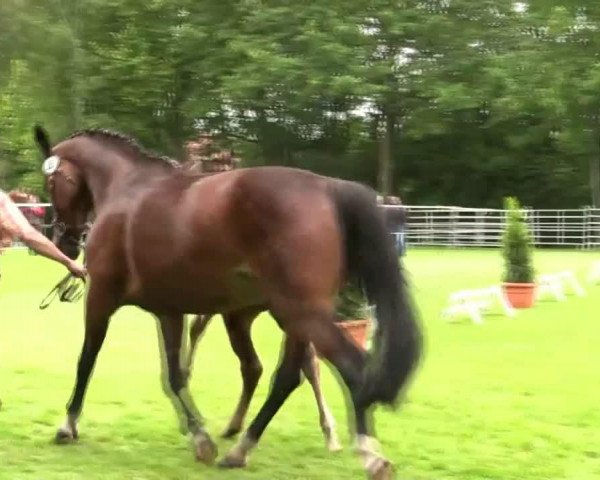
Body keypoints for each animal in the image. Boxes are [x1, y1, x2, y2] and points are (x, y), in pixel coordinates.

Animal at [32, 125, 422, 478]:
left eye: (52, 183)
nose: (63, 241)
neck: (127, 187)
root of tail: (328, 186)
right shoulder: (169, 311)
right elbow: (175, 376)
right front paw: (200, 438)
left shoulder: (101, 297)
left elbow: (87, 360)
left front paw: (67, 425)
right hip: (288, 316)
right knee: (285, 376)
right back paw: (241, 448)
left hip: (301, 313)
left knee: (350, 367)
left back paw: (370, 454)